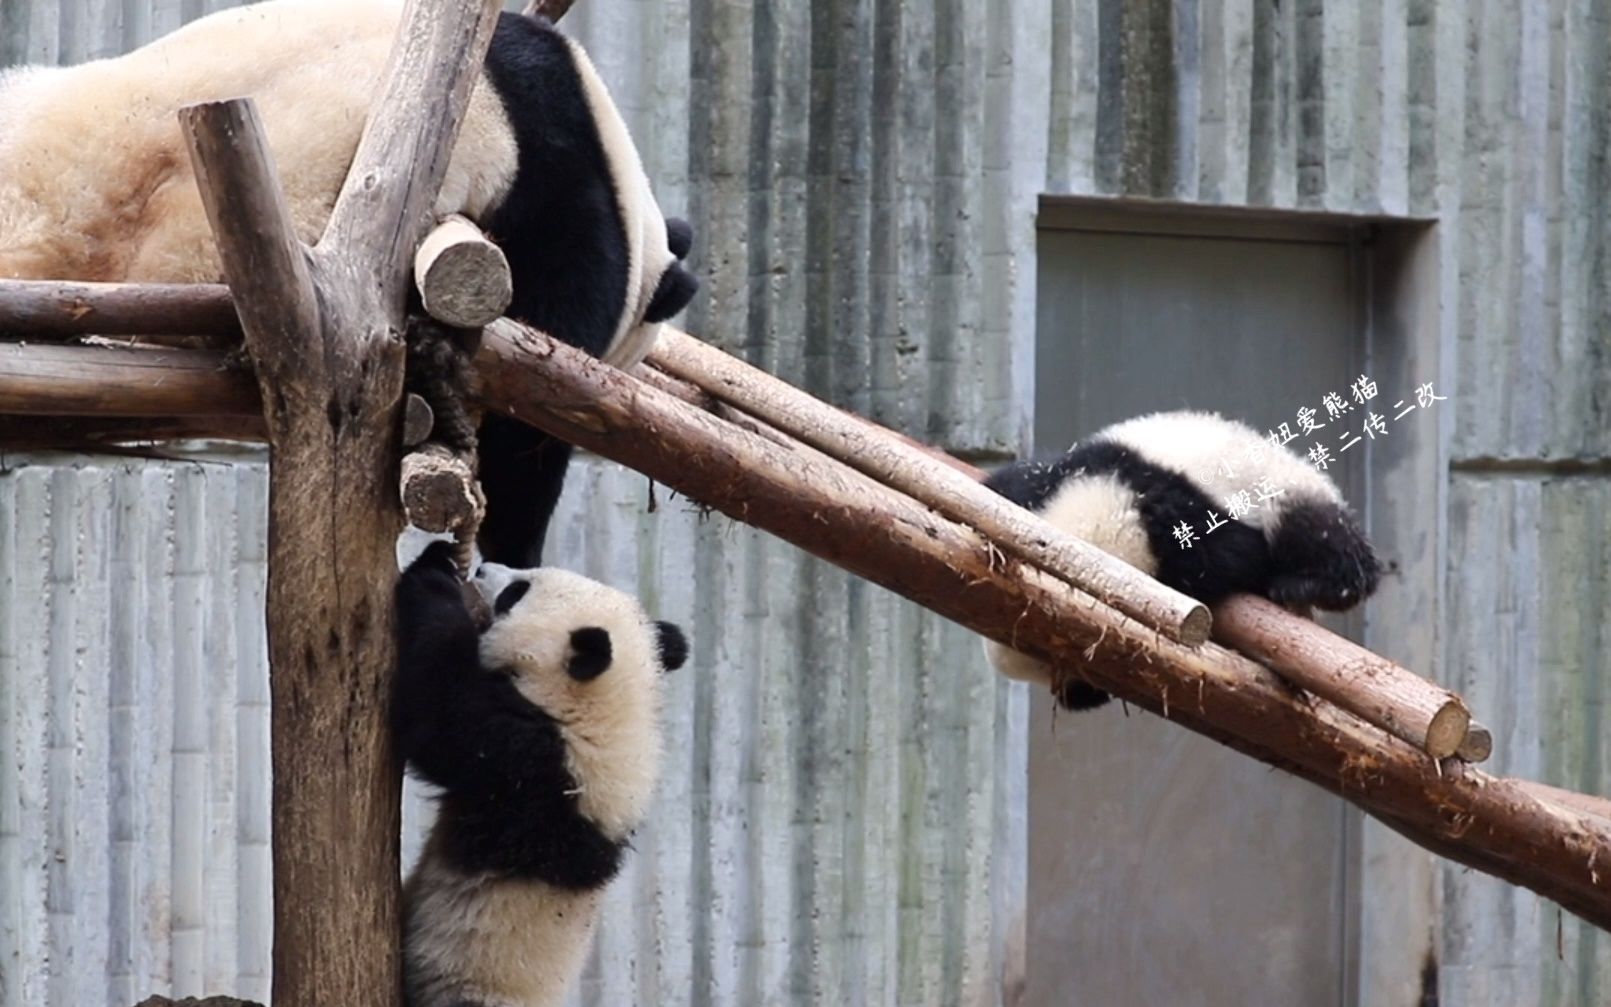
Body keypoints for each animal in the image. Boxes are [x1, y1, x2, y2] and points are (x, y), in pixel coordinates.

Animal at [397, 544, 692, 1005]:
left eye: (516, 593)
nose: (483, 569)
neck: (608, 713)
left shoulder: (536, 769)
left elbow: (439, 713)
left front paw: (433, 577)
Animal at [985, 406, 1379, 705]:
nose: (1076, 698)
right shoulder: (1068, 473)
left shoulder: (1176, 521)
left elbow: (1230, 557)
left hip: (1291, 489)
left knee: (1321, 537)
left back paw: (1303, 585)